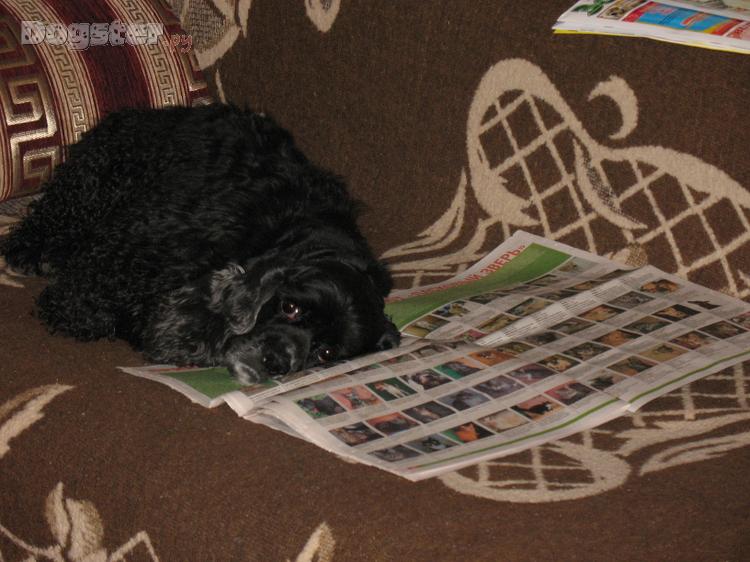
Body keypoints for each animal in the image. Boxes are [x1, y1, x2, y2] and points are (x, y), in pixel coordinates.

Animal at [2, 103, 400, 383]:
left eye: (327, 353)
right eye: (290, 307)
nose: (277, 360)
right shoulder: (135, 244)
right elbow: (86, 301)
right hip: (95, 178)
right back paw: (31, 249)